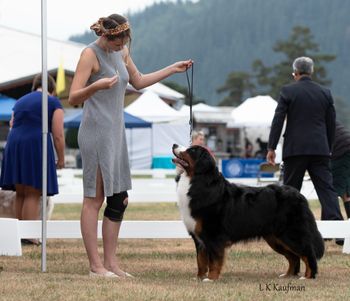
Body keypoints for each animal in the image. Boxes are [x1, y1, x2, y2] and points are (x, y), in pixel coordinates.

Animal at [173, 144, 326, 280]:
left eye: (192, 150)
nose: (174, 145)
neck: (198, 180)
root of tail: (299, 195)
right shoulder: (199, 238)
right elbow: (201, 261)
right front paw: (199, 278)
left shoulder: (213, 236)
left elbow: (214, 261)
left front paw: (211, 279)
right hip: (275, 238)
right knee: (293, 257)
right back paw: (287, 275)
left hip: (291, 234)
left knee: (308, 253)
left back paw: (308, 277)